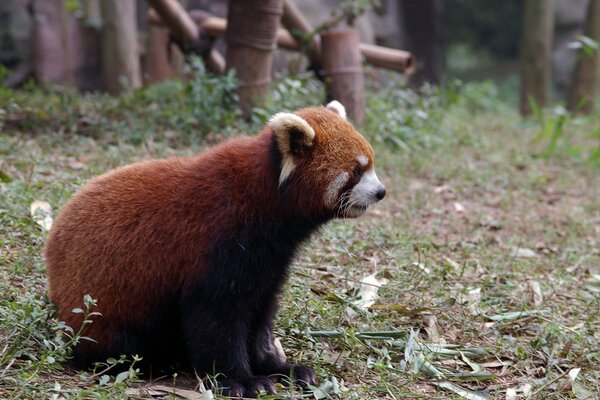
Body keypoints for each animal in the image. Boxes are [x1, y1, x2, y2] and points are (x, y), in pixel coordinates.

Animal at [44, 101, 386, 398]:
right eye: (356, 171)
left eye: (371, 164)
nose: (381, 192)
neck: (266, 203)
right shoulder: (216, 242)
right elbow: (217, 319)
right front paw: (241, 380)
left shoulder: (270, 260)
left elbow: (260, 316)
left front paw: (280, 368)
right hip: (107, 303)